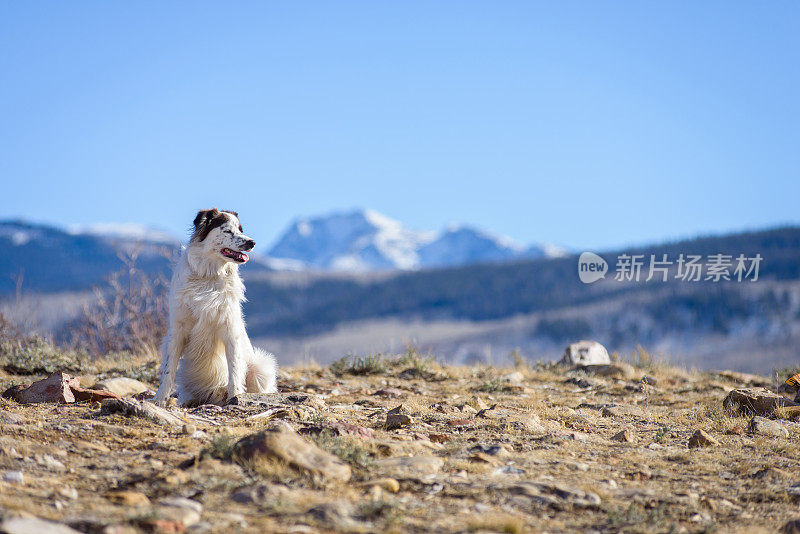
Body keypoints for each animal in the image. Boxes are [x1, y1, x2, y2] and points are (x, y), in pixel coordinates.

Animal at [152, 209, 278, 406]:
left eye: (241, 230)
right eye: (227, 230)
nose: (252, 242)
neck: (209, 274)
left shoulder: (230, 330)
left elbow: (234, 370)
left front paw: (235, 396)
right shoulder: (178, 329)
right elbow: (168, 369)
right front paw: (159, 399)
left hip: (260, 367)